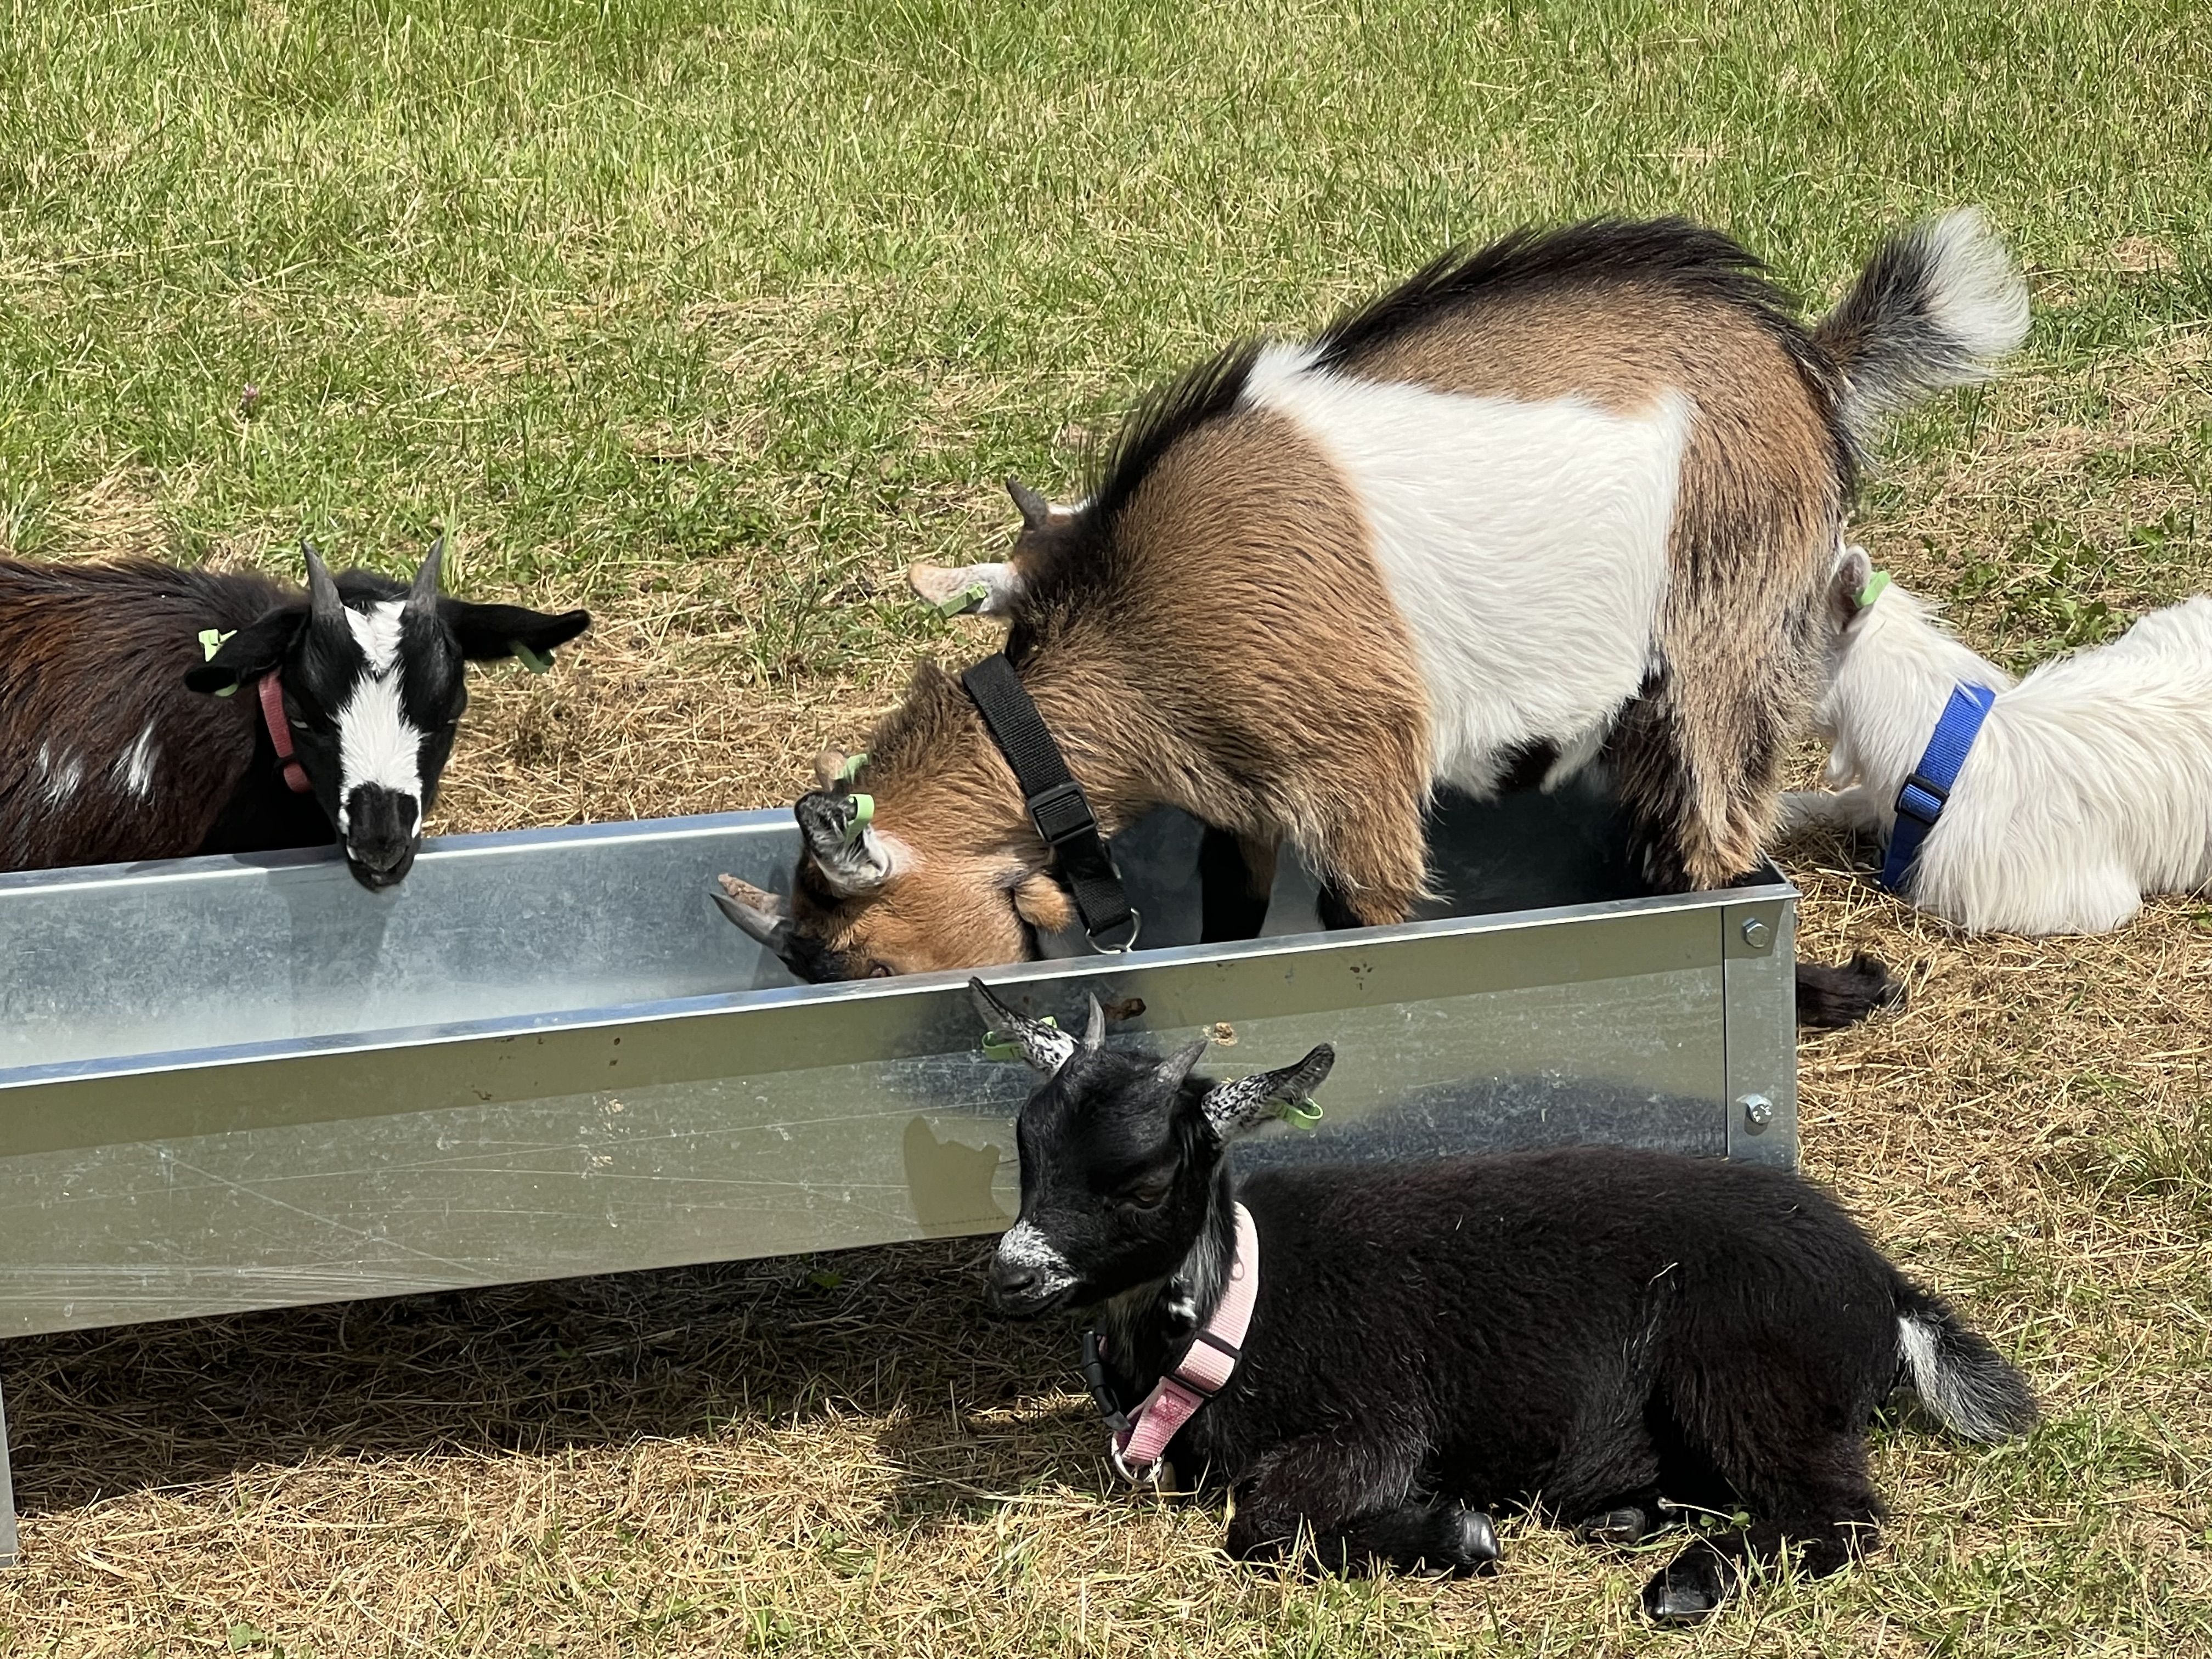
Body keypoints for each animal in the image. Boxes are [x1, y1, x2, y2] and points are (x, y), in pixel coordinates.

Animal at [717, 209, 2025, 1023]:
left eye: (863, 956)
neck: (1138, 636)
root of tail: (1807, 357)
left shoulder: (1358, 772)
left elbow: (1362, 923)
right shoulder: (1240, 794)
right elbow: (1232, 915)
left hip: (1729, 615)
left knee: (1721, 830)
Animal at [970, 980, 2037, 1623]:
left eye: (1146, 1180)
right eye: (1025, 1149)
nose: (1010, 1274)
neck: (1240, 1306)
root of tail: (1882, 1285)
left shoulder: (1375, 1421)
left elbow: (1262, 1523)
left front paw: (1454, 1533)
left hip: (1746, 1371)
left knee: (1836, 1513)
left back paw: (1686, 1581)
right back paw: (1627, 1517)